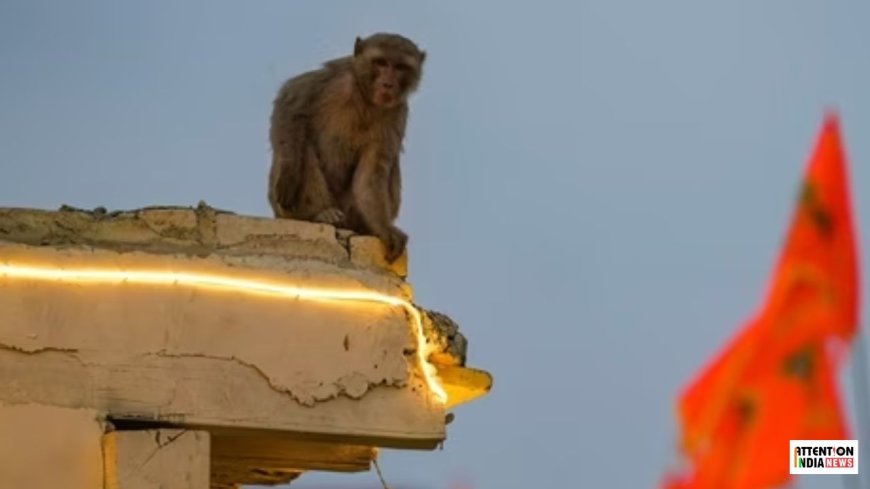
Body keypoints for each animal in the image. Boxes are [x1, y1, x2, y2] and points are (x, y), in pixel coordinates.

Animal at [268, 31, 428, 262]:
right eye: (381, 63)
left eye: (400, 67)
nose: (388, 84)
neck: (365, 96)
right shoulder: (335, 77)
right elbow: (291, 101)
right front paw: (289, 175)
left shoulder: (397, 112)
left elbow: (370, 174)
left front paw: (385, 229)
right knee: (301, 142)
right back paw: (319, 213)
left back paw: (364, 226)